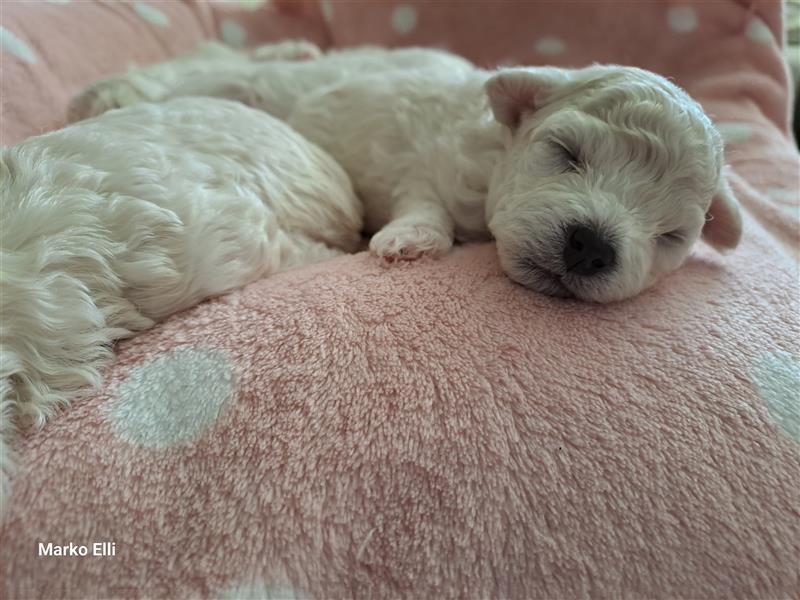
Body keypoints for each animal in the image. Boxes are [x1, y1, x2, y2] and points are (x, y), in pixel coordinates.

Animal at [72, 39, 748, 302]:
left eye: (671, 235)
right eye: (567, 153)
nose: (590, 247)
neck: (492, 156)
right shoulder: (420, 161)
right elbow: (422, 202)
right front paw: (411, 239)